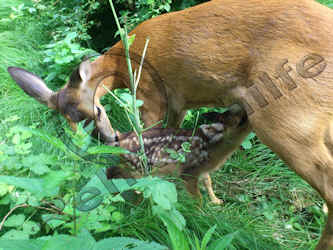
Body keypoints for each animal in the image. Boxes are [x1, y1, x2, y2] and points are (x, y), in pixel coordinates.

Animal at [105, 105, 248, 205]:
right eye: (239, 119)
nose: (245, 109)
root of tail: (120, 138)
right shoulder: (189, 171)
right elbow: (198, 197)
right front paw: (201, 213)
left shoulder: (202, 169)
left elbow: (208, 181)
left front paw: (217, 201)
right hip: (138, 169)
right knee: (121, 176)